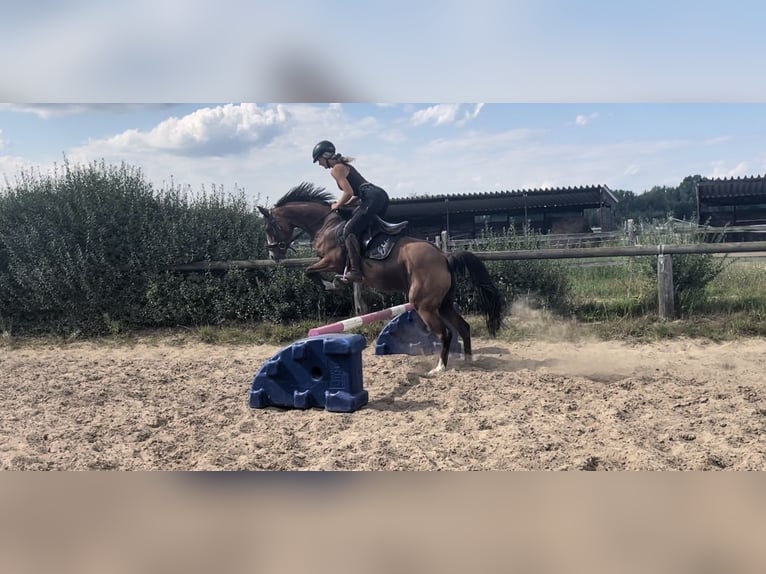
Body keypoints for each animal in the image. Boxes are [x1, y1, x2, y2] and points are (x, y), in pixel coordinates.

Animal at [260, 182, 508, 376]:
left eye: (269, 227)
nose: (273, 256)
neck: (325, 224)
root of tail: (444, 257)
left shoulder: (331, 260)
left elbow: (310, 271)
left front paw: (334, 284)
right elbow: (310, 271)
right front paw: (335, 283)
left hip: (424, 305)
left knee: (445, 333)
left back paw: (439, 368)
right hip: (443, 304)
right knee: (463, 327)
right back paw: (467, 361)